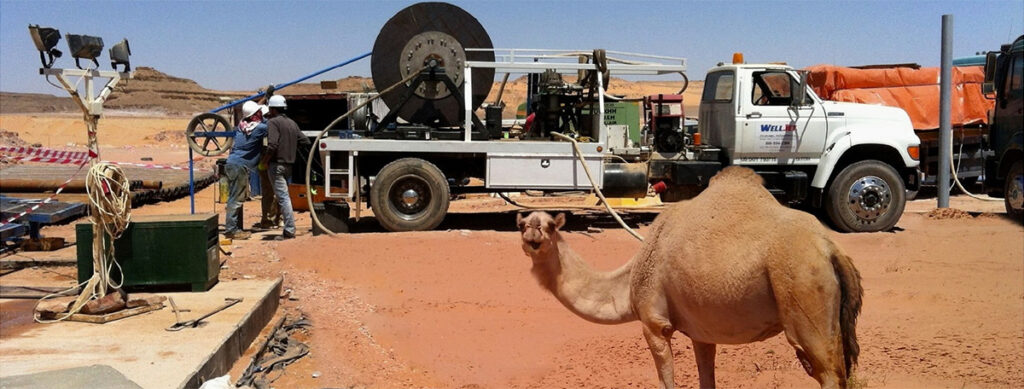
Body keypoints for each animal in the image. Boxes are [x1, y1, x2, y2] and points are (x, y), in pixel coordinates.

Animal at [516, 166, 860, 389]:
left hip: (803, 296)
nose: (533, 235)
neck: (629, 280)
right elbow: (706, 379)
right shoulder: (702, 332)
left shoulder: (654, 324)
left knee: (828, 374)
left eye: (550, 225)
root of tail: (830, 249)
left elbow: (667, 381)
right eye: (523, 224)